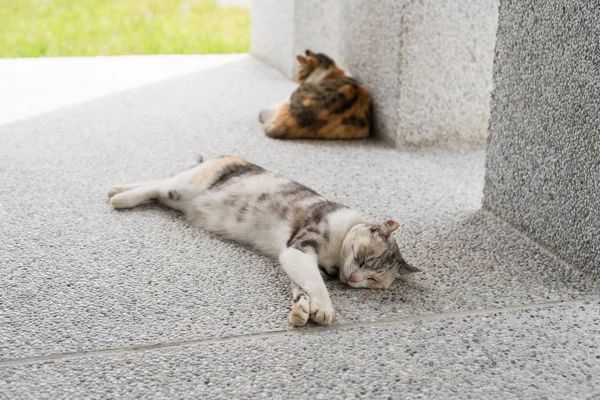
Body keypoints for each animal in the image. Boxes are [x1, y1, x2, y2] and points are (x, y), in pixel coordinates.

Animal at [108, 155, 418, 326]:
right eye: (364, 258)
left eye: (373, 280)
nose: (354, 278)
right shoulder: (300, 247)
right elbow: (316, 283)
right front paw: (324, 308)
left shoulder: (296, 257)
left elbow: (303, 287)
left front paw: (302, 310)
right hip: (184, 186)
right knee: (156, 184)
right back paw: (121, 198)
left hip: (176, 196)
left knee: (155, 187)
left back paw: (117, 188)